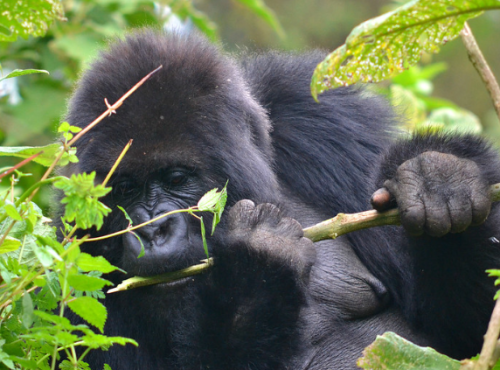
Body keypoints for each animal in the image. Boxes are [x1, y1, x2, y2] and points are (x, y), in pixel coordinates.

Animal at [61, 30, 500, 368]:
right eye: (124, 189)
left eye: (176, 178)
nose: (152, 231)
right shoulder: (73, 266)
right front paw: (257, 261)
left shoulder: (324, 123)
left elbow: (465, 335)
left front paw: (440, 180)